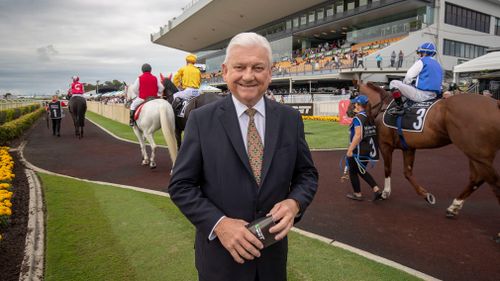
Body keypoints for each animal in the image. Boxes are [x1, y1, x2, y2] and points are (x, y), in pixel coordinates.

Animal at [358, 81, 500, 217]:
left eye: (354, 95)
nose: (352, 112)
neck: (383, 107)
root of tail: (495, 104)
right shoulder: (408, 147)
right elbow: (407, 173)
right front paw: (427, 195)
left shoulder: (385, 145)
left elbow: (388, 169)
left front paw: (385, 193)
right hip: (474, 153)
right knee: (477, 178)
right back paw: (454, 207)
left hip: (477, 153)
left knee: (492, 181)